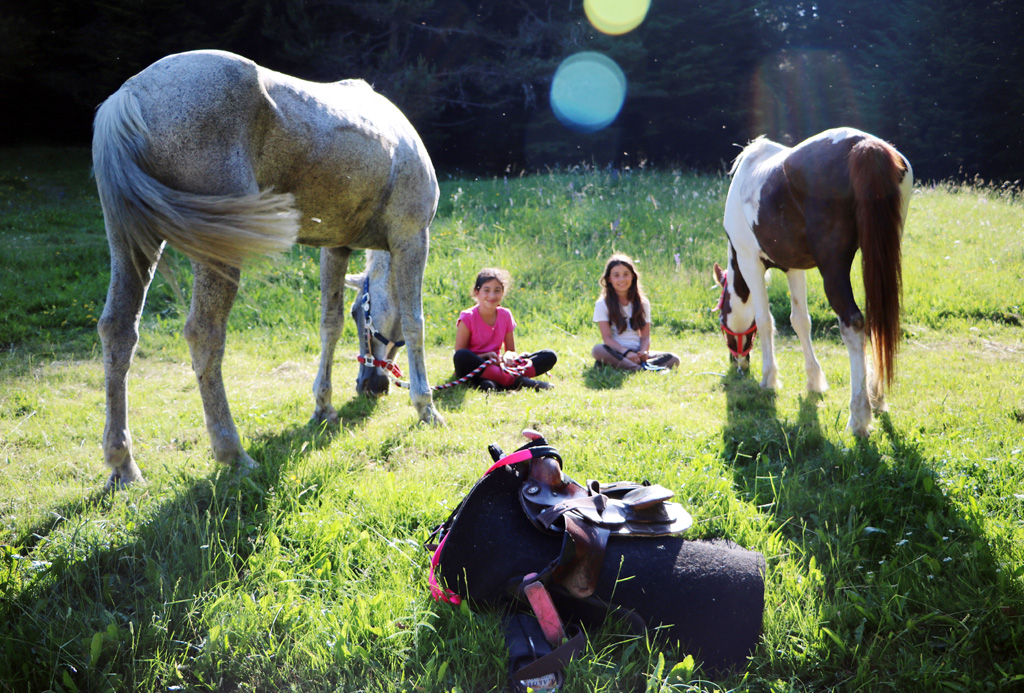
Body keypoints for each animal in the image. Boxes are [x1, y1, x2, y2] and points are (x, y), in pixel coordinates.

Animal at [712, 126, 913, 436]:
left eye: (722, 320)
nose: (738, 363)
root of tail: (864, 146)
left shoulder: (750, 262)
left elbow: (766, 319)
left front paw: (768, 379)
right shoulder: (794, 268)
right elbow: (800, 321)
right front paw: (814, 382)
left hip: (833, 267)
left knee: (853, 324)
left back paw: (859, 417)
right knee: (880, 324)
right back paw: (877, 398)